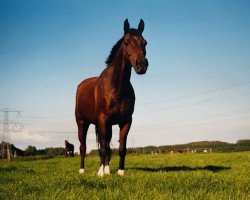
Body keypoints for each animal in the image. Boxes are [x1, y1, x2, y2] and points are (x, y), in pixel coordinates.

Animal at [74, 18, 148, 177]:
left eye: (145, 42)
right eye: (126, 42)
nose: (142, 65)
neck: (116, 88)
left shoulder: (125, 122)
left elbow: (121, 149)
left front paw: (120, 172)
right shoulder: (102, 120)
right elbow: (102, 149)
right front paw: (100, 174)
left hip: (107, 126)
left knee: (107, 145)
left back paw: (107, 169)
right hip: (82, 123)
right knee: (83, 147)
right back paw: (82, 170)